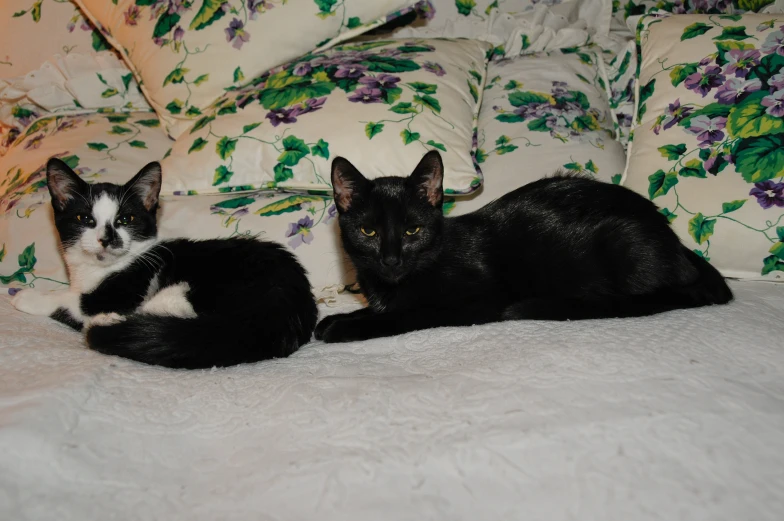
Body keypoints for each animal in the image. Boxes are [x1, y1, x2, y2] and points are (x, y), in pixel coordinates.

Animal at [12, 158, 318, 366]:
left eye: (126, 219)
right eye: (84, 218)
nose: (107, 239)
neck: (97, 270)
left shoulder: (126, 289)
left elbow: (74, 301)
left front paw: (27, 297)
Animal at [316, 150, 732, 344]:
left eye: (412, 230)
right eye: (369, 232)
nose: (391, 259)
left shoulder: (477, 302)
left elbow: (405, 315)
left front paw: (346, 327)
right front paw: (338, 318)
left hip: (624, 245)